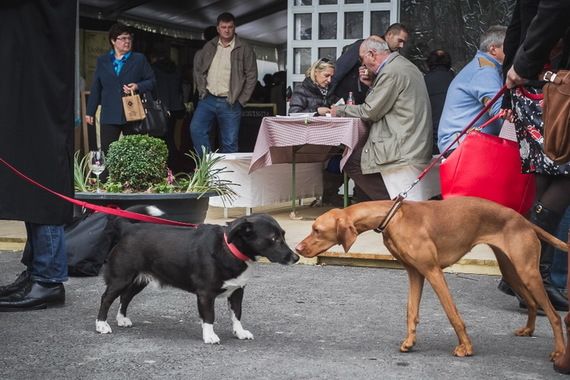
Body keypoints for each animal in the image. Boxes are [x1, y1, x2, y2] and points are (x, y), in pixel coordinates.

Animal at [94, 208, 298, 344]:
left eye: (283, 235)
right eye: (274, 239)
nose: (295, 257)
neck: (229, 248)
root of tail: (129, 229)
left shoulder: (237, 291)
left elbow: (237, 314)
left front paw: (239, 332)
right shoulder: (206, 294)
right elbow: (209, 316)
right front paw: (209, 336)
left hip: (138, 280)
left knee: (125, 297)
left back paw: (122, 319)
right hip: (121, 278)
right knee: (106, 298)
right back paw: (101, 325)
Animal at [296, 197, 564, 360]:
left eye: (317, 230)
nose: (297, 249)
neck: (392, 216)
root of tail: (524, 219)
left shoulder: (433, 271)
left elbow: (452, 314)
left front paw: (466, 348)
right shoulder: (415, 273)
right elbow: (411, 311)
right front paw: (409, 342)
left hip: (528, 272)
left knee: (553, 315)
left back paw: (559, 352)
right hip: (512, 271)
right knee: (532, 302)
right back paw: (528, 329)